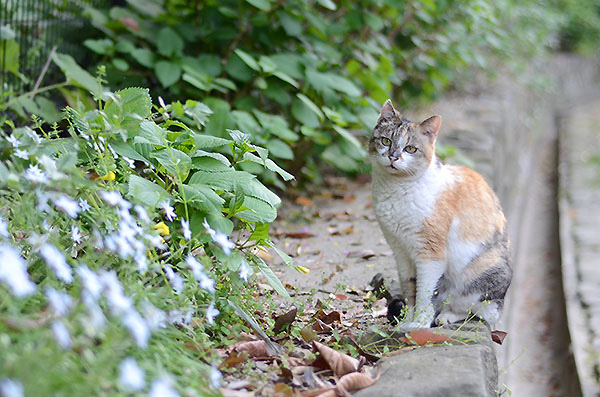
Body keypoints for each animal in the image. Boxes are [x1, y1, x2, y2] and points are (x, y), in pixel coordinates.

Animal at [368, 99, 512, 328]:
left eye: (410, 148)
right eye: (385, 140)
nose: (393, 157)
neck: (395, 190)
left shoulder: (430, 253)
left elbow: (425, 292)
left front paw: (419, 324)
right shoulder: (400, 251)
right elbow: (411, 289)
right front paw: (407, 321)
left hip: (480, 275)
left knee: (481, 313)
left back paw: (447, 315)